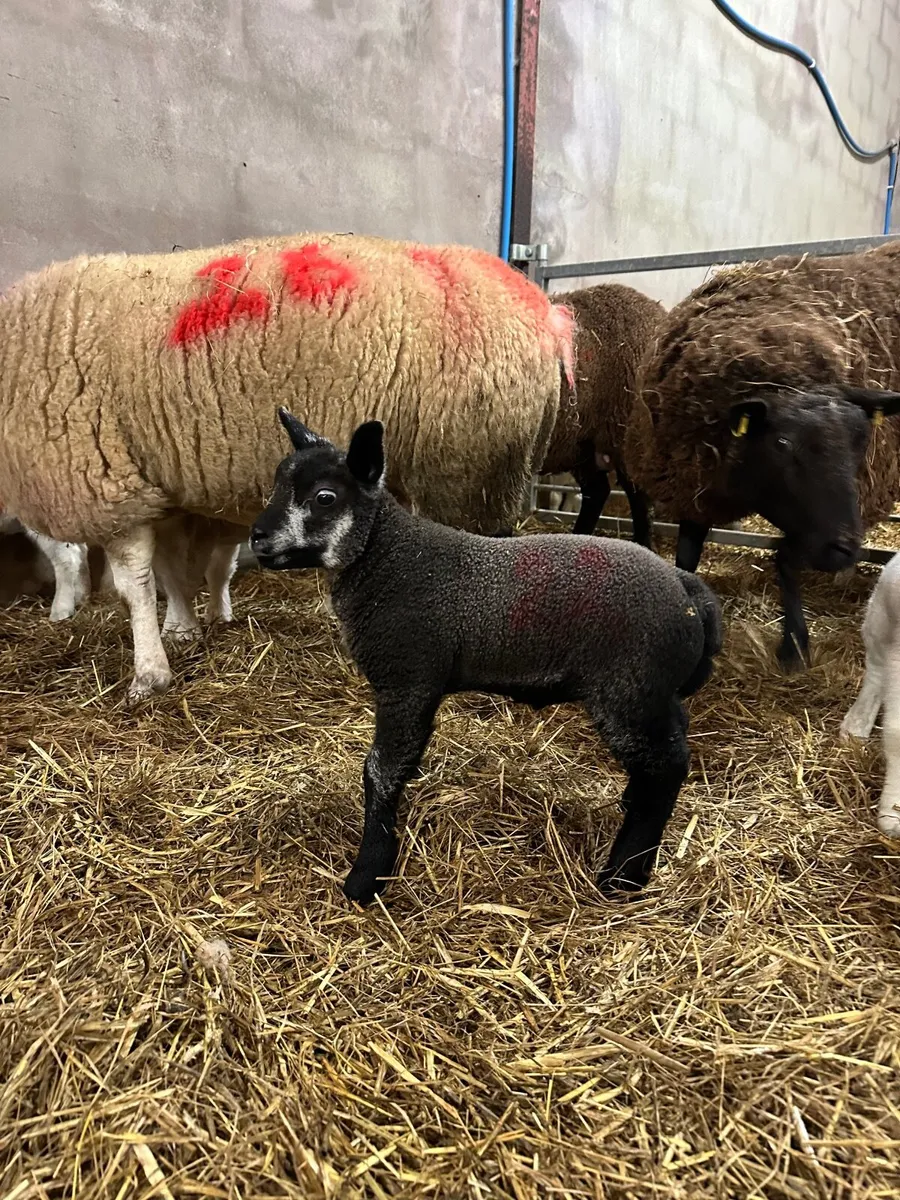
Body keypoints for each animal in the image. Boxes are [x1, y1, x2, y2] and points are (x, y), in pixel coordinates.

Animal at [0, 233, 573, 701]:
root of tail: (546, 316)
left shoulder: (104, 478)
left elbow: (135, 584)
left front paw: (149, 674)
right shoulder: (153, 481)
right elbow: (169, 570)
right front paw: (182, 631)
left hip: (469, 469)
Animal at [250, 411, 723, 905]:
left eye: (325, 497)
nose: (256, 536)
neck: (386, 558)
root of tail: (687, 591)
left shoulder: (407, 679)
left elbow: (380, 772)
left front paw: (367, 875)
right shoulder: (418, 686)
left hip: (629, 688)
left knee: (666, 769)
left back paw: (623, 876)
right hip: (651, 693)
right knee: (670, 743)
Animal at [626, 241, 900, 672]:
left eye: (862, 440)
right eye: (782, 443)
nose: (842, 548)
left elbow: (785, 558)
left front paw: (794, 645)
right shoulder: (697, 484)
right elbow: (687, 557)